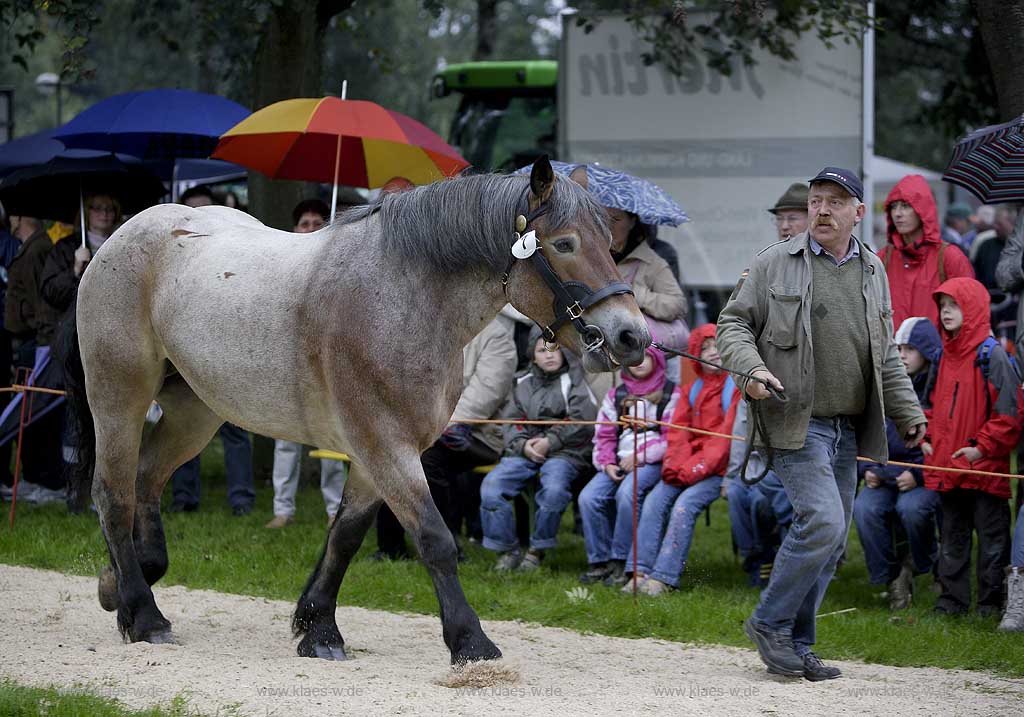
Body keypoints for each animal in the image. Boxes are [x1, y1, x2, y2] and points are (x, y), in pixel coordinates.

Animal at [64, 155, 647, 667]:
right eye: (565, 243)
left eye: (610, 243)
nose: (632, 337)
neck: (401, 298)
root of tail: (120, 237)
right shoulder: (385, 446)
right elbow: (434, 539)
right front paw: (470, 641)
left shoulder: (380, 453)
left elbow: (344, 536)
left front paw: (317, 627)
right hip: (119, 397)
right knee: (113, 493)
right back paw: (143, 615)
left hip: (196, 411)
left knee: (145, 480)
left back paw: (124, 584)